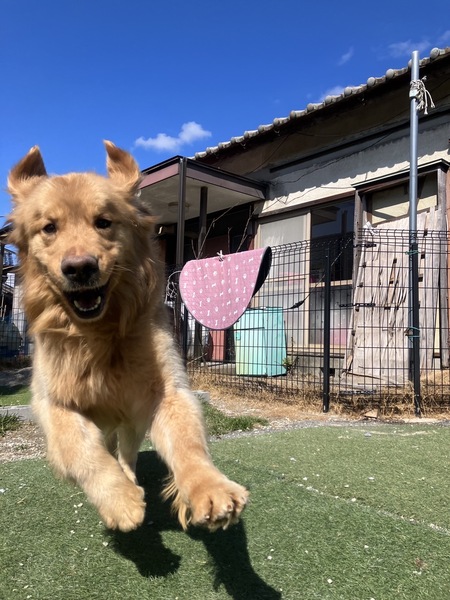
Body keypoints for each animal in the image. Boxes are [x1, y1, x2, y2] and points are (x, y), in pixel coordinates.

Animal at [7, 141, 248, 532]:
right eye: (49, 228)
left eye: (104, 222)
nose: (79, 268)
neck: (98, 332)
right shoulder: (53, 402)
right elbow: (81, 448)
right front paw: (118, 500)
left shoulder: (165, 392)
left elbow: (187, 443)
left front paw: (209, 487)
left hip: (131, 423)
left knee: (127, 453)